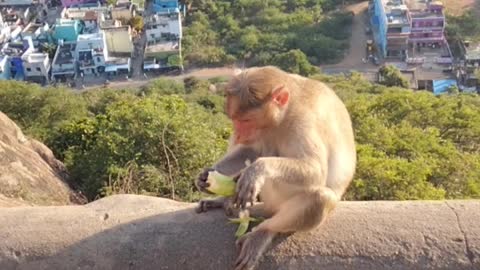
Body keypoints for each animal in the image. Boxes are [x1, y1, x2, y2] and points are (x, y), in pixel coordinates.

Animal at [195, 65, 356, 270]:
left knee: (320, 198)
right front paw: (206, 176)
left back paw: (263, 231)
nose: (238, 134)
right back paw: (225, 200)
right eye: (234, 119)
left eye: (246, 120)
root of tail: (271, 208)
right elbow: (250, 150)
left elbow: (316, 170)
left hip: (280, 204)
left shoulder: (304, 121)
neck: (283, 116)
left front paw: (256, 171)